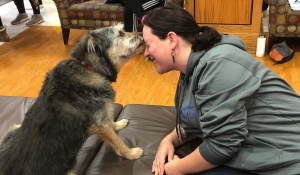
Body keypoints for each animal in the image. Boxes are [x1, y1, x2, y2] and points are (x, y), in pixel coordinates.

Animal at [0, 23, 145, 175]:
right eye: (120, 33)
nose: (141, 33)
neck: (88, 67)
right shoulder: (101, 125)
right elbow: (118, 142)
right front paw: (132, 153)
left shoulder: (101, 114)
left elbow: (110, 121)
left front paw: (119, 124)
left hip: (13, 129)